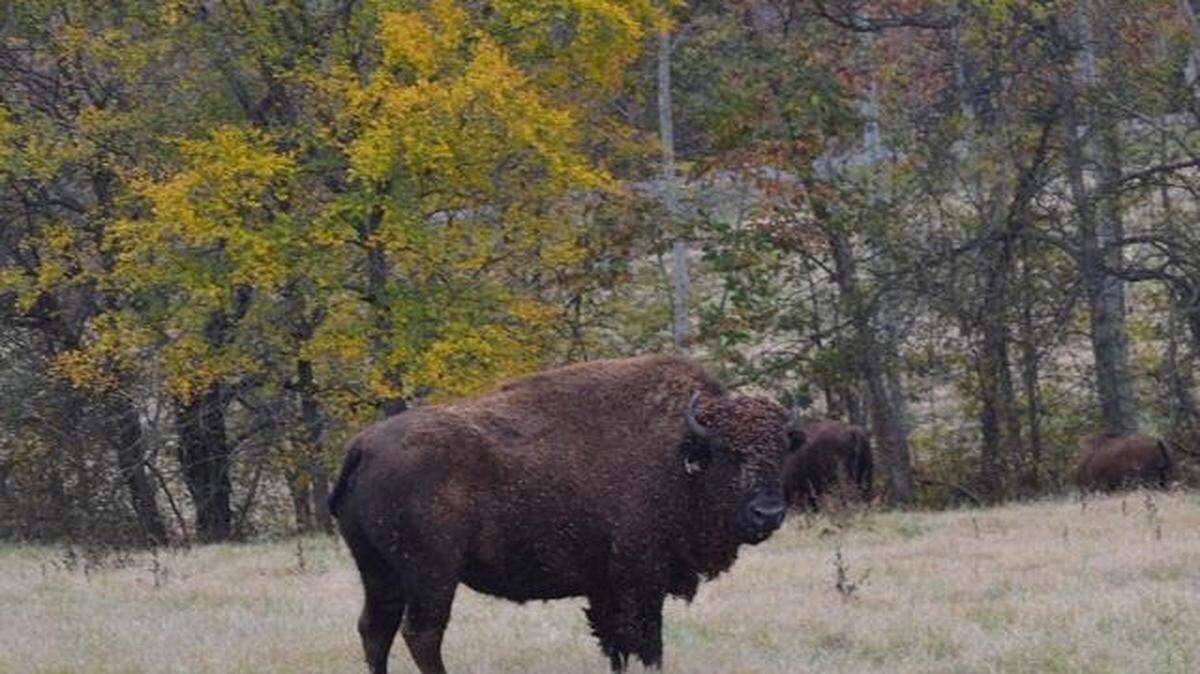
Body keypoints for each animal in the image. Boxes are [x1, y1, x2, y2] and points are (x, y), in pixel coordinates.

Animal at [328, 354, 805, 673]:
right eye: (728, 454)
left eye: (781, 450)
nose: (768, 513)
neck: (679, 454)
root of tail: (363, 446)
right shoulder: (640, 580)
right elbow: (647, 643)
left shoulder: (606, 587)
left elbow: (618, 647)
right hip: (432, 575)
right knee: (421, 633)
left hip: (379, 571)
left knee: (375, 629)